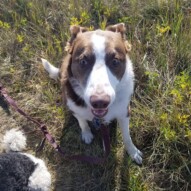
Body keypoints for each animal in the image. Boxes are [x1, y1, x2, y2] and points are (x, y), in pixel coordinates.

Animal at [42, 22, 143, 164]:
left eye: (115, 61)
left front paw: (133, 152)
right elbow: (82, 121)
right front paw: (87, 134)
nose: (100, 102)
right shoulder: (75, 108)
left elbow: (127, 136)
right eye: (83, 61)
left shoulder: (124, 112)